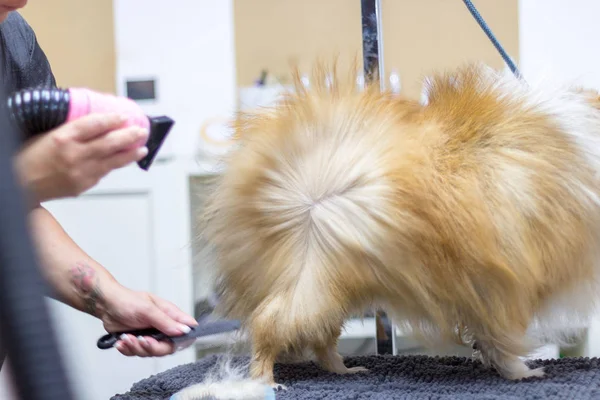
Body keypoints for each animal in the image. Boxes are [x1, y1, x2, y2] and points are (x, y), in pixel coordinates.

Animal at [202, 63, 600, 388]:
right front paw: (526, 374)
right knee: (268, 327)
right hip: (311, 285)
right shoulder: (508, 291)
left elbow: (491, 341)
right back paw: (265, 381)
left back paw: (348, 370)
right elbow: (506, 343)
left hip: (333, 290)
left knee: (319, 340)